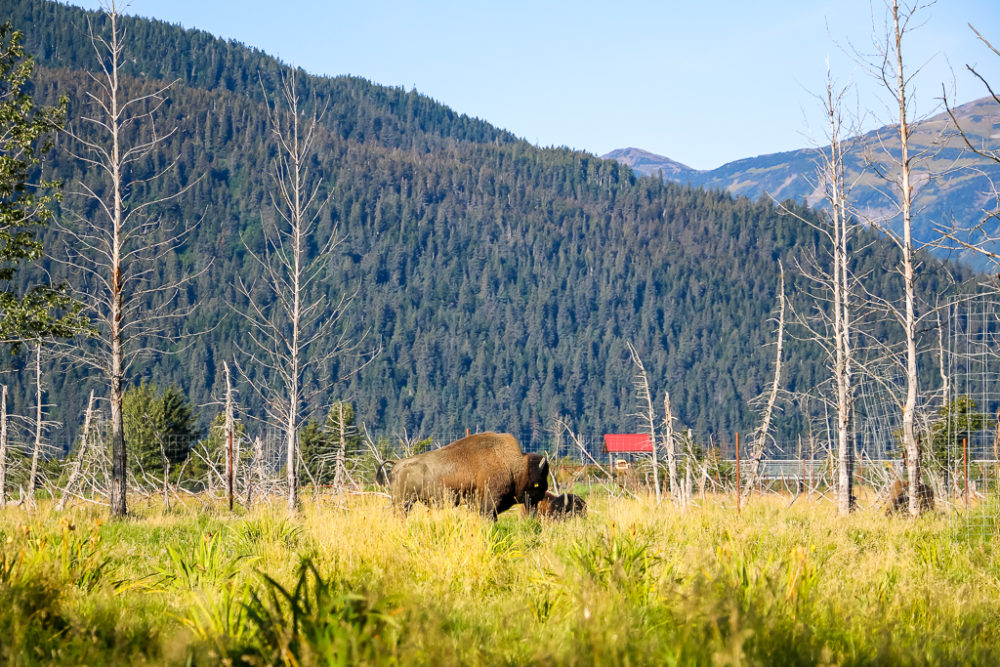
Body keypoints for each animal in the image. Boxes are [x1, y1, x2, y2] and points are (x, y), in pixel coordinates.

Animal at [386, 430, 552, 520]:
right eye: (539, 480)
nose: (543, 493)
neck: (513, 466)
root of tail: (396, 464)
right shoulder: (489, 503)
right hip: (404, 502)